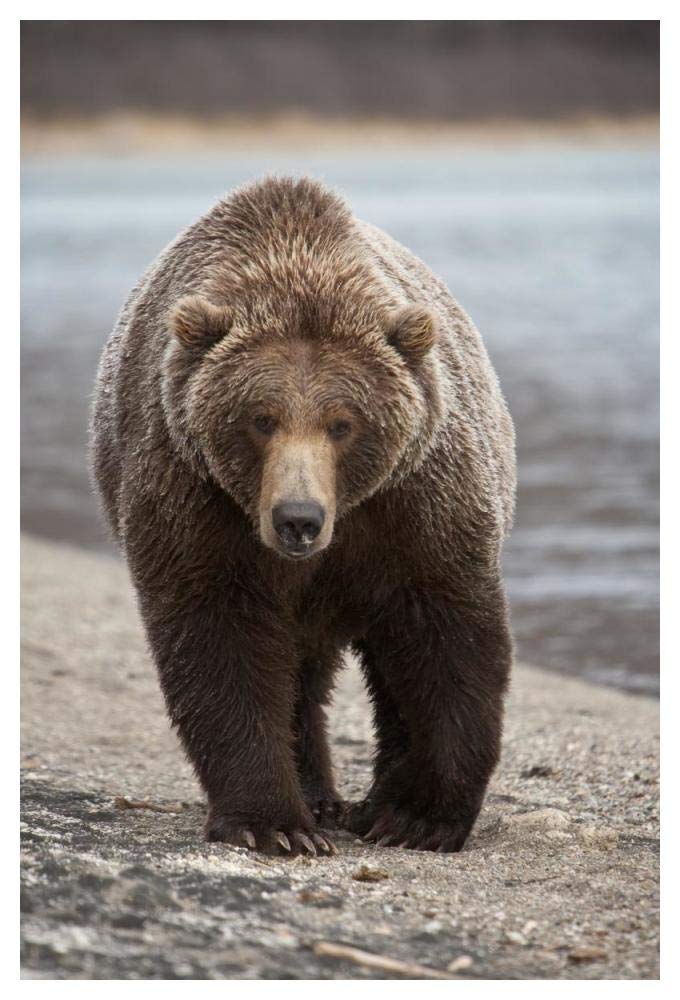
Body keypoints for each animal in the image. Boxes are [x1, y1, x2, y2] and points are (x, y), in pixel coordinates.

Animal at [90, 175, 516, 856]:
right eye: (261, 418)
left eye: (343, 423)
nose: (298, 518)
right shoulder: (196, 498)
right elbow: (220, 639)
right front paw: (275, 823)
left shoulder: (414, 502)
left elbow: (443, 637)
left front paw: (417, 817)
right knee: (298, 675)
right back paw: (317, 799)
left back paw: (368, 804)